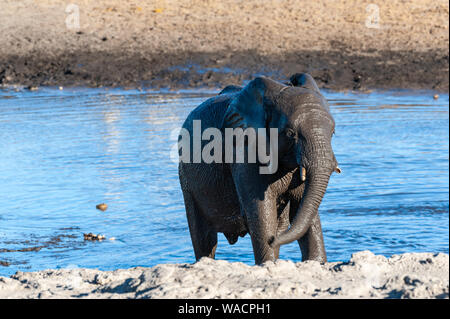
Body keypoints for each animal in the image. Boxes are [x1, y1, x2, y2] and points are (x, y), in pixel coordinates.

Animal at [178, 73, 340, 264]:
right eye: (290, 133)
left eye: (333, 132)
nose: (272, 240)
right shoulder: (244, 152)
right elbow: (261, 210)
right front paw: (268, 260)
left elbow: (302, 206)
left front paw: (316, 262)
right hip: (187, 183)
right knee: (204, 239)